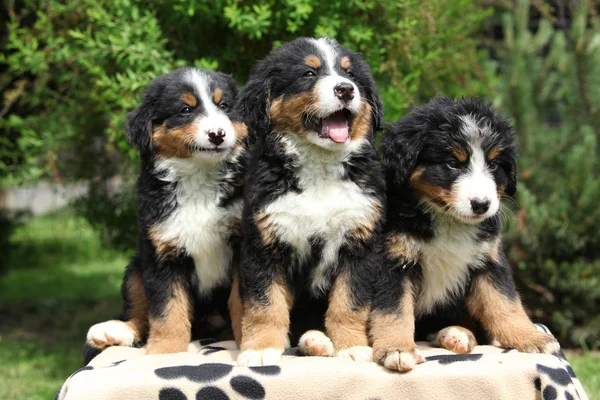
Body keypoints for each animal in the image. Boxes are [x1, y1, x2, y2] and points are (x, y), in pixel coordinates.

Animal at [84, 67, 248, 360]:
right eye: (185, 109)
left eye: (225, 106)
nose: (217, 134)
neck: (199, 177)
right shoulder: (162, 253)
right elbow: (166, 309)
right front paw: (165, 352)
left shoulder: (241, 244)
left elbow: (241, 302)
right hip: (136, 268)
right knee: (139, 316)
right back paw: (113, 331)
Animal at [233, 37, 384, 366]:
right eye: (308, 74)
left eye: (350, 74)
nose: (345, 90)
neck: (320, 167)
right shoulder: (264, 244)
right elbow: (265, 305)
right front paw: (261, 348)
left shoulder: (359, 244)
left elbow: (349, 302)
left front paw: (352, 345)